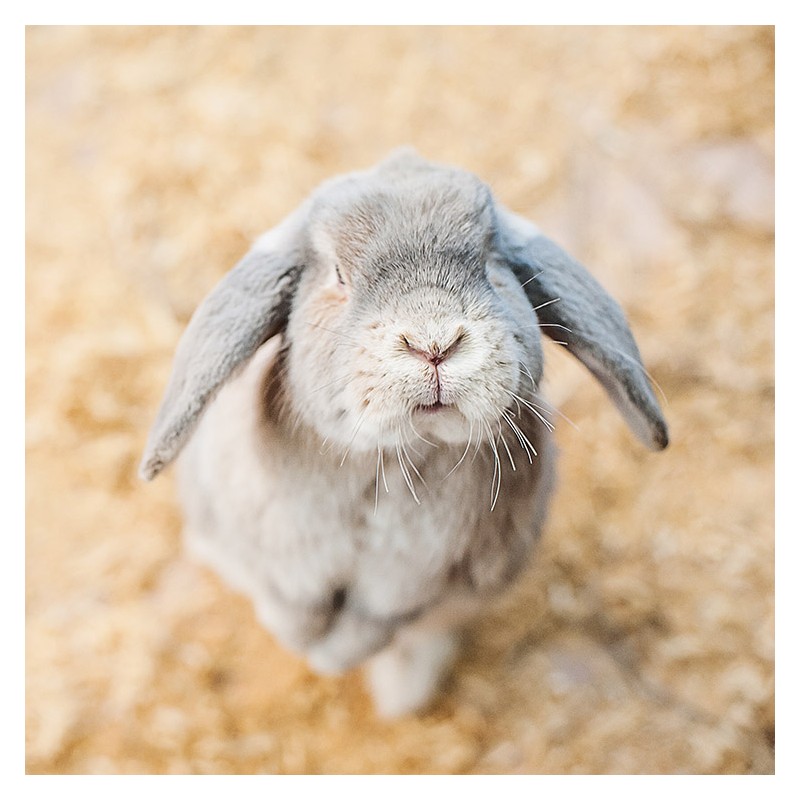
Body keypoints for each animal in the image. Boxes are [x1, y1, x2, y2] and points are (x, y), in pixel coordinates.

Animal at [139, 150, 668, 720]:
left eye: (491, 265)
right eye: (338, 275)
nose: (434, 344)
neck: (388, 462)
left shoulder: (411, 582)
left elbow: (375, 623)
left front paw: (332, 660)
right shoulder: (284, 561)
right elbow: (293, 607)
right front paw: (307, 647)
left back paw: (403, 694)